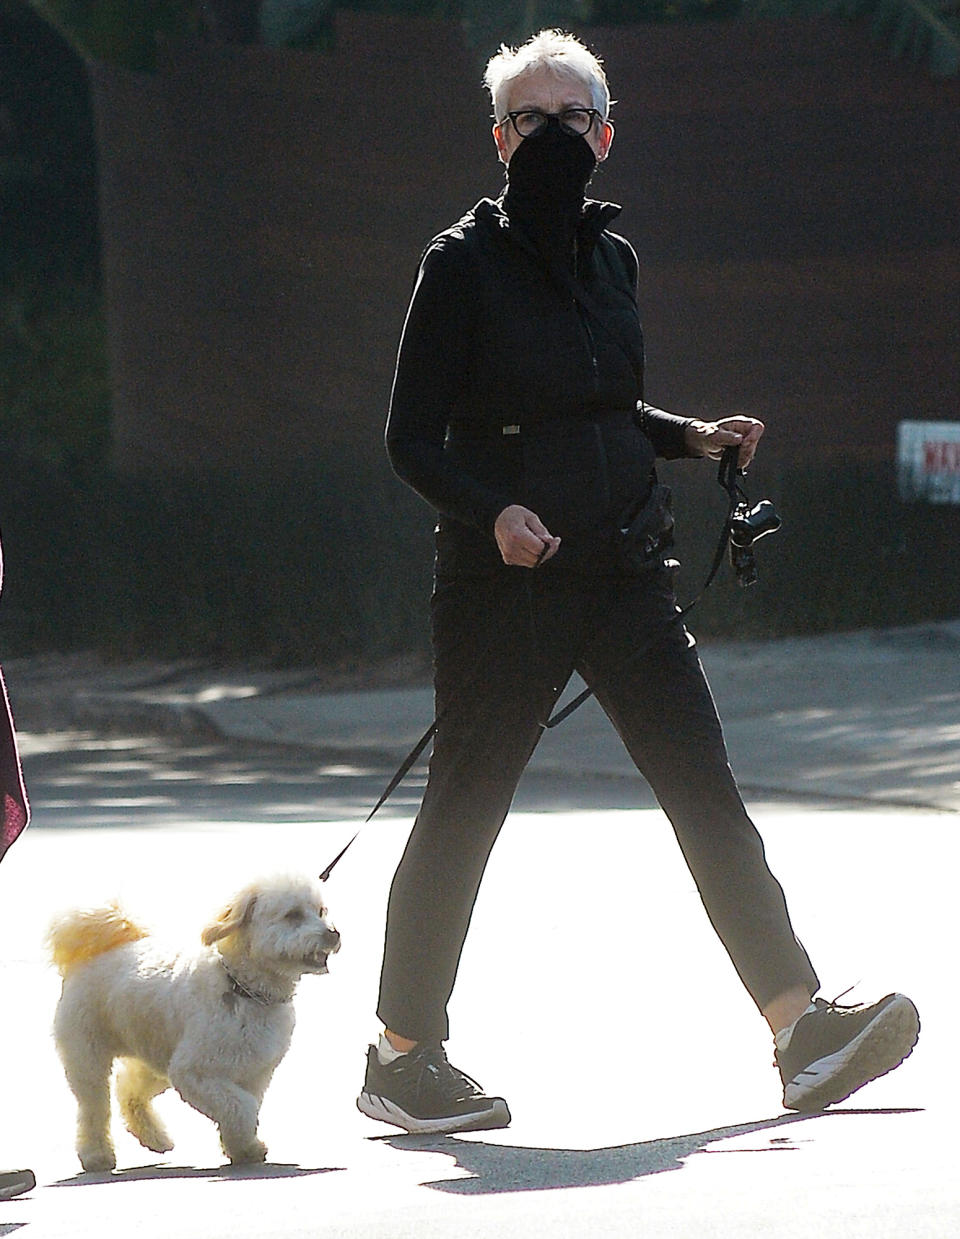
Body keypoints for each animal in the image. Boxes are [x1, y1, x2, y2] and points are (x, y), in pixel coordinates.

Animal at [49, 872, 341, 1169]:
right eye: (292, 915)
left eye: (320, 911)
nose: (333, 934)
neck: (241, 986)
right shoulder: (194, 1072)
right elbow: (242, 1108)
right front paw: (244, 1145)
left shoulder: (254, 1073)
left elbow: (241, 1107)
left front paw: (243, 1149)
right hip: (89, 1058)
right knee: (93, 1109)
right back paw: (96, 1155)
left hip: (157, 1057)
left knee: (129, 1090)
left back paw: (154, 1137)